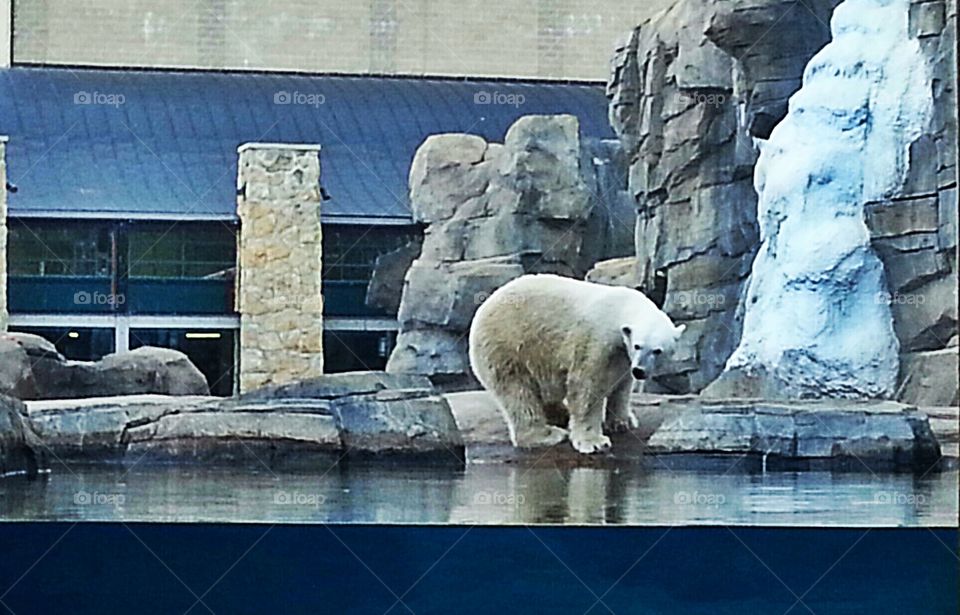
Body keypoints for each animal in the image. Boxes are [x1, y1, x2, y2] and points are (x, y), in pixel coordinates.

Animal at [468, 274, 685, 454]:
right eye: (638, 346)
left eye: (657, 351)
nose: (639, 371)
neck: (622, 306)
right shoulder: (597, 340)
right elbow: (587, 387)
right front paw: (594, 441)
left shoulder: (622, 354)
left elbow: (622, 384)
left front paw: (622, 421)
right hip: (508, 347)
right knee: (517, 393)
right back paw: (547, 434)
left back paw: (560, 414)